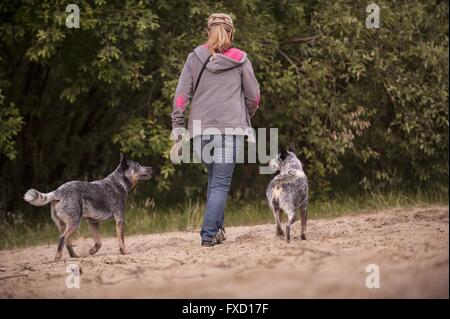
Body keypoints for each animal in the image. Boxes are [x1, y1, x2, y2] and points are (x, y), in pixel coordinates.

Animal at [22, 155, 152, 262]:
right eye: (138, 165)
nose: (151, 168)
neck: (119, 182)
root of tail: (57, 192)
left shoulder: (92, 222)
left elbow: (99, 242)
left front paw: (92, 251)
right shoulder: (120, 220)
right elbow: (122, 241)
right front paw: (124, 253)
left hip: (64, 224)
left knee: (67, 242)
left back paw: (75, 256)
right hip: (74, 223)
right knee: (62, 238)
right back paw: (57, 258)